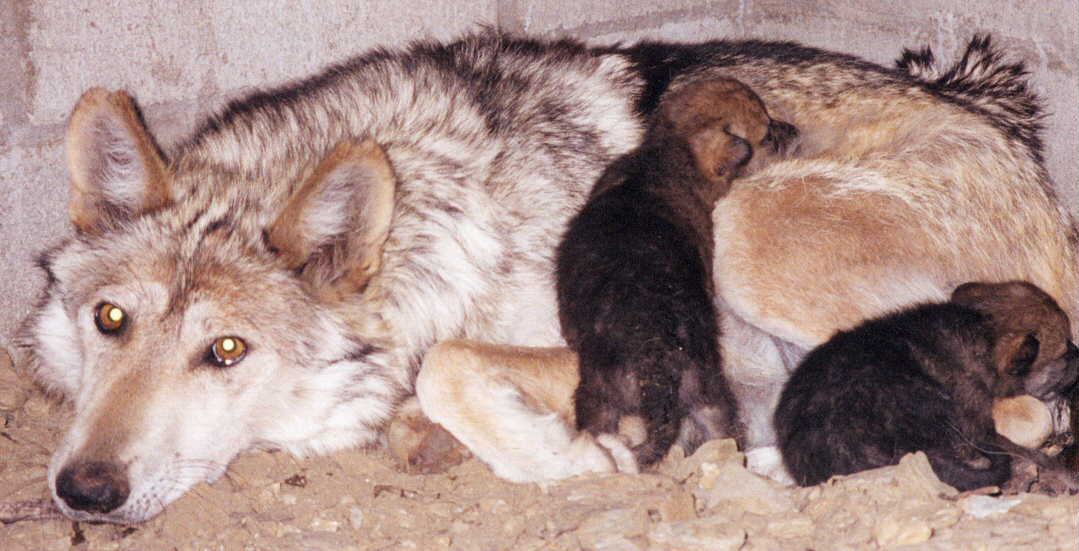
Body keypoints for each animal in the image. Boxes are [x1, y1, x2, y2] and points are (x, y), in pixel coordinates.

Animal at [556, 77, 802, 465]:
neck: (667, 154)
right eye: (767, 135)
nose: (795, 131)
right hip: (708, 392)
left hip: (598, 396)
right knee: (725, 431)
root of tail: (656, 367)